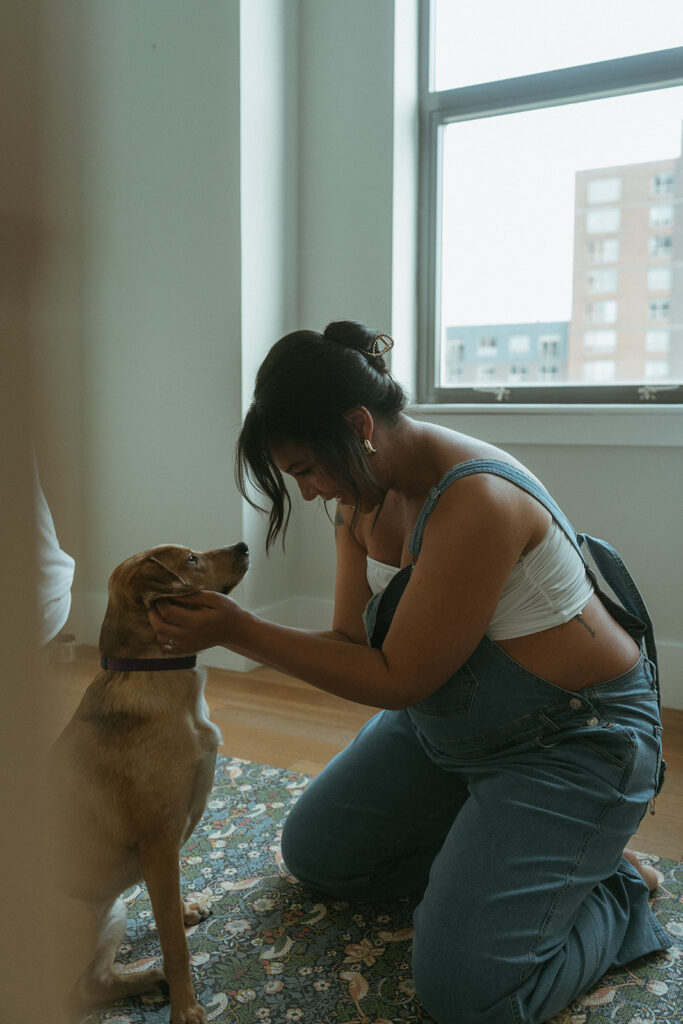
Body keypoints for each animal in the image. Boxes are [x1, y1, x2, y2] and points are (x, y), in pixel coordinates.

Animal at [49, 540, 249, 1019]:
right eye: (191, 559)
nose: (244, 545)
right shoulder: (158, 841)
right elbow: (174, 944)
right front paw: (188, 1010)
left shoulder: (169, 843)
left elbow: (171, 906)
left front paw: (185, 910)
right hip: (75, 918)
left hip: (114, 911)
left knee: (91, 986)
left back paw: (148, 980)